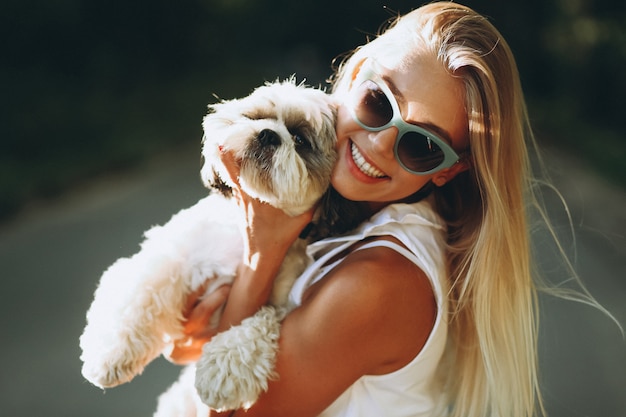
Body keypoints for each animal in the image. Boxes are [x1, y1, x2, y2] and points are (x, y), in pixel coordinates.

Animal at [78, 79, 358, 412]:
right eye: (255, 117)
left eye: (301, 139)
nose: (269, 134)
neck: (244, 245)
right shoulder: (176, 249)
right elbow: (142, 289)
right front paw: (111, 352)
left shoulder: (283, 305)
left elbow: (258, 324)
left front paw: (221, 371)